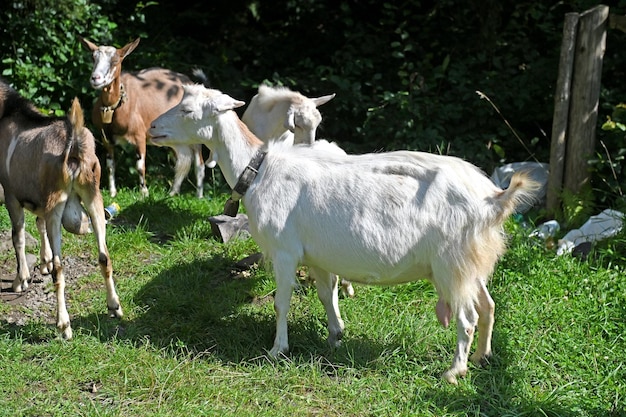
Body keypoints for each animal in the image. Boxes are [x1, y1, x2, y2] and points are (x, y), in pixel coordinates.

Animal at [0, 78, 123, 338]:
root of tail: (73, 144)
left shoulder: (12, 194)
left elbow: (18, 236)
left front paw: (20, 280)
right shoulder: (39, 200)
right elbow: (38, 224)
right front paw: (43, 262)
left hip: (57, 204)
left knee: (60, 268)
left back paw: (64, 325)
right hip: (93, 194)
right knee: (104, 255)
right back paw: (114, 307)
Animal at [79, 36, 206, 197]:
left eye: (115, 60)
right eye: (93, 58)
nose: (95, 78)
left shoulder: (139, 135)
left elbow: (140, 165)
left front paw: (144, 193)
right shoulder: (106, 139)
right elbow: (110, 165)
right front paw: (113, 193)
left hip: (194, 134)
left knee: (199, 163)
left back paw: (199, 196)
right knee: (181, 159)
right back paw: (172, 193)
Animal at [149, 84, 540, 384]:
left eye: (186, 109)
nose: (152, 127)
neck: (260, 169)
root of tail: (494, 198)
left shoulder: (285, 251)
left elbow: (281, 301)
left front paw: (277, 350)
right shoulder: (316, 255)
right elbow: (326, 295)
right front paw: (335, 336)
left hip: (450, 263)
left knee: (467, 317)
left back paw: (454, 371)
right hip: (470, 263)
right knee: (489, 306)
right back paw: (482, 358)